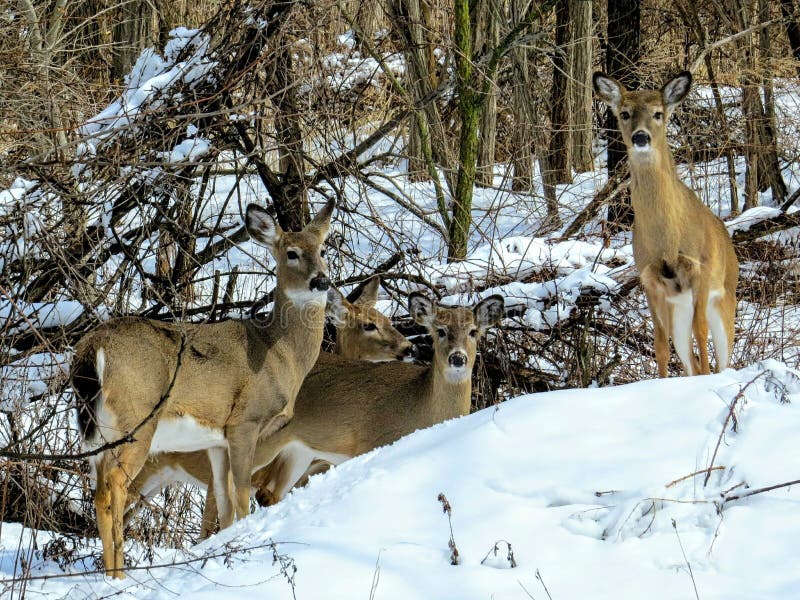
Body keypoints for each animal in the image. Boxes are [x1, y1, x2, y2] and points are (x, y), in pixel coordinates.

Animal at [72, 199, 338, 576]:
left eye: (323, 249)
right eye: (292, 253)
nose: (322, 280)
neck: (278, 353)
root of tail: (91, 348)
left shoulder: (216, 440)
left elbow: (224, 504)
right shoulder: (245, 422)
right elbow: (241, 495)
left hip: (96, 434)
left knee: (97, 493)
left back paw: (108, 574)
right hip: (136, 423)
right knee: (114, 490)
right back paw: (120, 574)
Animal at [592, 72, 740, 378]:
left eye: (658, 113)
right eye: (624, 113)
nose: (640, 136)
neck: (668, 239)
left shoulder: (700, 270)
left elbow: (701, 332)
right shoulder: (649, 280)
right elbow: (659, 344)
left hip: (725, 297)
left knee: (723, 358)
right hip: (678, 309)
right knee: (688, 357)